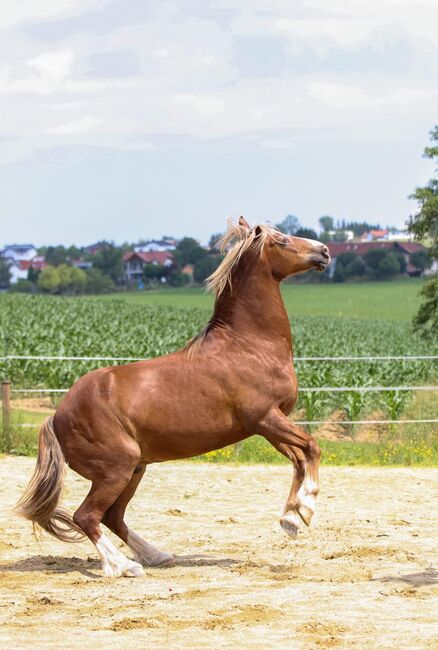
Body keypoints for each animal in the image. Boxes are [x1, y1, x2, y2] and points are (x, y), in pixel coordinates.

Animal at [15, 218, 330, 576]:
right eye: (281, 240)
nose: (324, 251)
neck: (248, 346)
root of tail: (57, 415)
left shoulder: (270, 424)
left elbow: (298, 459)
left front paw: (291, 517)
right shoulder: (265, 417)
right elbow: (311, 447)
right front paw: (306, 507)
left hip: (135, 469)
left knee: (112, 516)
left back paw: (155, 555)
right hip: (116, 469)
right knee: (88, 516)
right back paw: (124, 566)